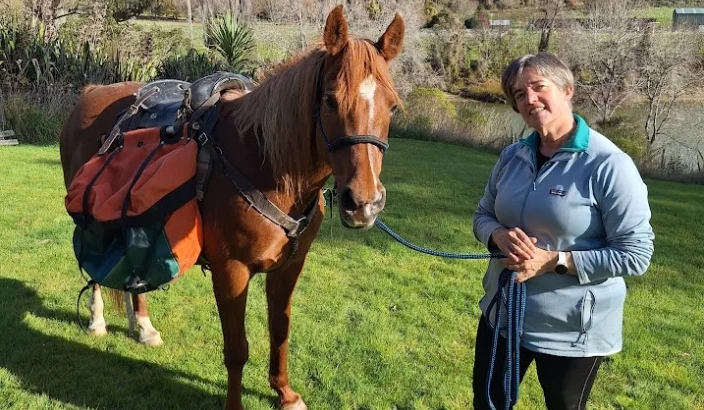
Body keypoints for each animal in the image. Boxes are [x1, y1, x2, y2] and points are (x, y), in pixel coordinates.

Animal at [59, 5, 404, 409]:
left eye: (392, 106)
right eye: (331, 101)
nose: (363, 203)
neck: (264, 163)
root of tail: (92, 93)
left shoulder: (289, 268)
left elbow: (280, 330)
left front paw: (285, 393)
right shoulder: (231, 271)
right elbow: (237, 350)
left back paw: (143, 326)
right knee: (95, 269)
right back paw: (97, 321)